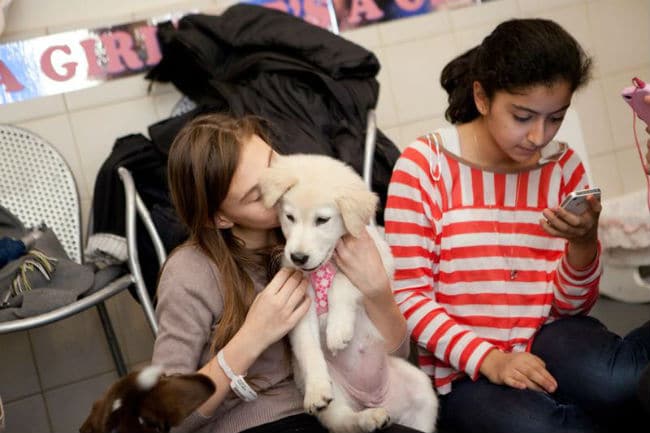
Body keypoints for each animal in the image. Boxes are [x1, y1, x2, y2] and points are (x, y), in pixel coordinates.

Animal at [258, 154, 436, 432]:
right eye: (289, 217)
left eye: (322, 220)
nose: (298, 258)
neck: (325, 265)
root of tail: (373, 398)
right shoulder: (301, 305)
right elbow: (308, 349)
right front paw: (316, 389)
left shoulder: (379, 266)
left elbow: (340, 284)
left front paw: (337, 330)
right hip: (338, 399)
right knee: (344, 420)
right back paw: (369, 418)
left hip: (421, 390)